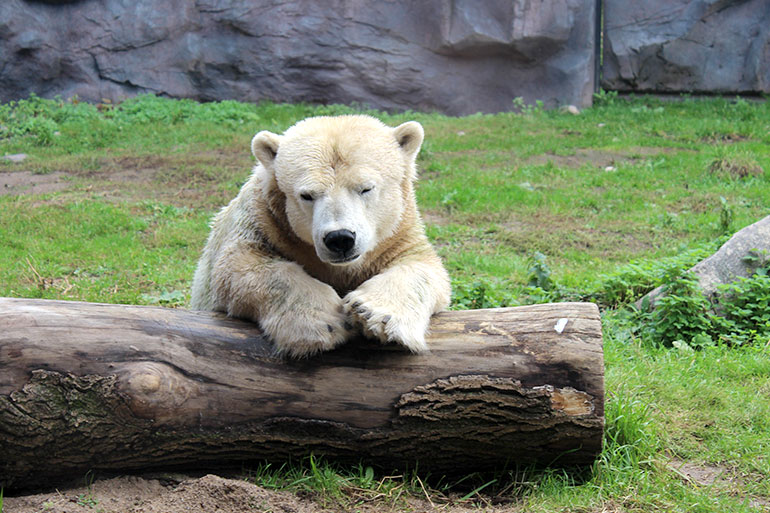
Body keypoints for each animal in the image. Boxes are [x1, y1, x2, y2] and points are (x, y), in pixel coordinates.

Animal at [191, 115, 450, 356]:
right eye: (307, 195)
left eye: (366, 188)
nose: (340, 239)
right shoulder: (259, 222)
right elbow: (240, 267)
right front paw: (326, 321)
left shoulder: (398, 235)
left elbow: (422, 268)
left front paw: (372, 313)